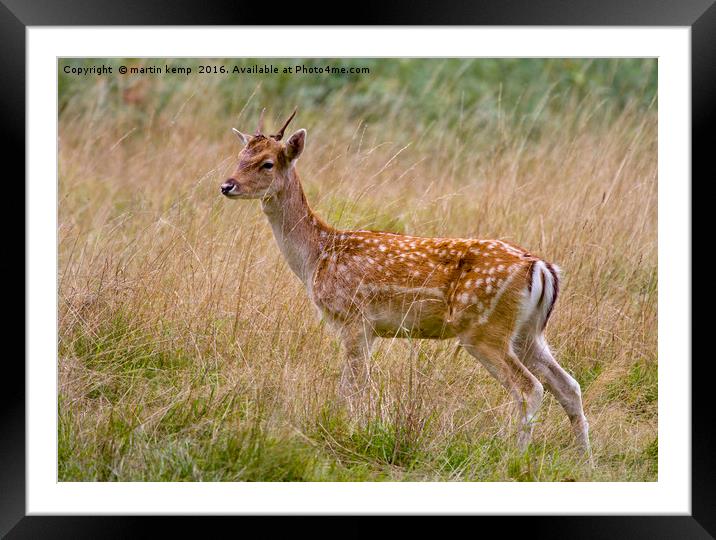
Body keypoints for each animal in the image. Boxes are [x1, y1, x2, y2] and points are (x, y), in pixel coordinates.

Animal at [221, 109, 592, 456]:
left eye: (267, 163)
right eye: (240, 155)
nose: (226, 185)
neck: (318, 255)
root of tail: (540, 267)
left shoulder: (353, 319)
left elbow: (352, 389)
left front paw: (346, 429)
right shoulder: (368, 329)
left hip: (485, 329)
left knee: (530, 388)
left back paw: (514, 457)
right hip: (528, 332)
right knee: (569, 386)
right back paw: (583, 460)